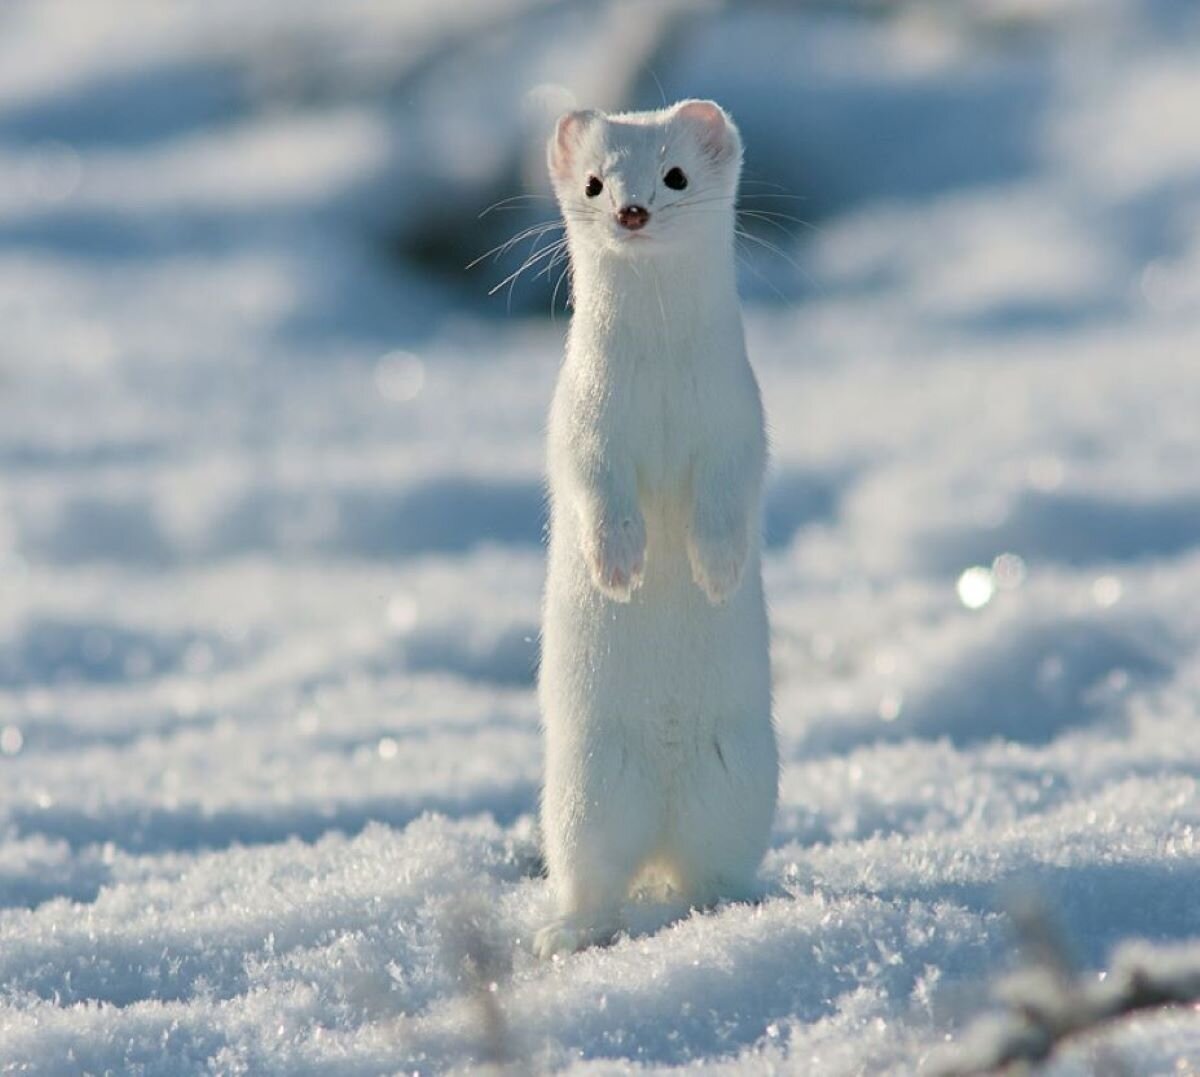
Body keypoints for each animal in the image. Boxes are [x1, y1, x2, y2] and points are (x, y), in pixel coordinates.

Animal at [535, 100, 777, 959]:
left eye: (674, 174)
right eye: (593, 182)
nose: (631, 211)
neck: (663, 388)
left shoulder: (739, 421)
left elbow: (730, 491)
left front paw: (716, 568)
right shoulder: (581, 425)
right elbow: (596, 489)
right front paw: (617, 564)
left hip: (741, 781)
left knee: (716, 865)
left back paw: (733, 906)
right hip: (583, 789)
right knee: (590, 872)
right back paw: (568, 931)